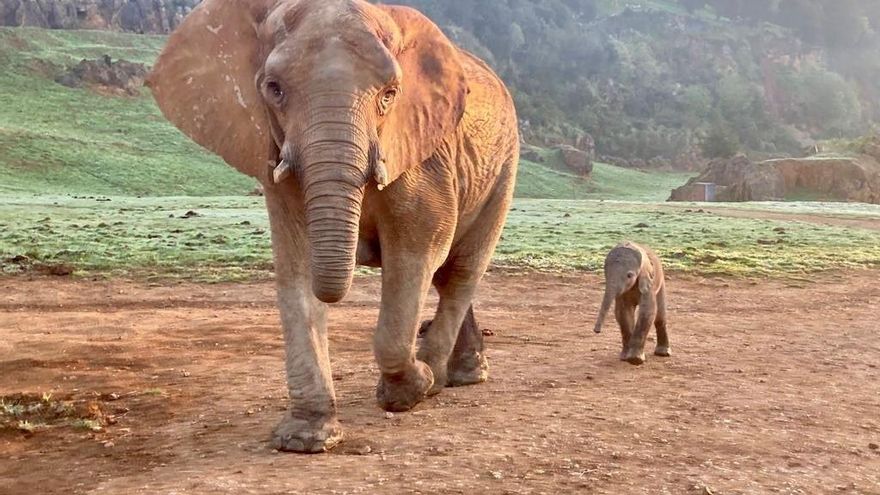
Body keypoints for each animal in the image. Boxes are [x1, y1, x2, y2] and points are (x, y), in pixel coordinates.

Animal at [146, 0, 519, 452]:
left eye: (389, 95)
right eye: (274, 88)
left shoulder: (422, 156)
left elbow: (417, 252)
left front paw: (410, 389)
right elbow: (295, 266)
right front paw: (304, 440)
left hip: (504, 167)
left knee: (459, 272)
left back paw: (442, 378)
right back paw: (453, 374)